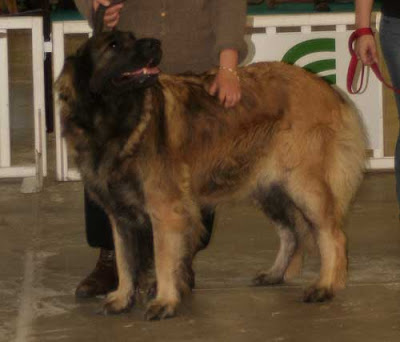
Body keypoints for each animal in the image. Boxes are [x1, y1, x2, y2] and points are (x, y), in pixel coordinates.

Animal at [56, 30, 366, 320]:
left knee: (333, 235)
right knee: (291, 233)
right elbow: (124, 259)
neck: (119, 120)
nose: (155, 43)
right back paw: (275, 274)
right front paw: (122, 298)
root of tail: (326, 87)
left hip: (303, 184)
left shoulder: (165, 208)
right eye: (114, 45)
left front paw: (164, 301)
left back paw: (325, 286)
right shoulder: (120, 214)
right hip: (268, 188)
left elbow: (163, 257)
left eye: (130, 38)